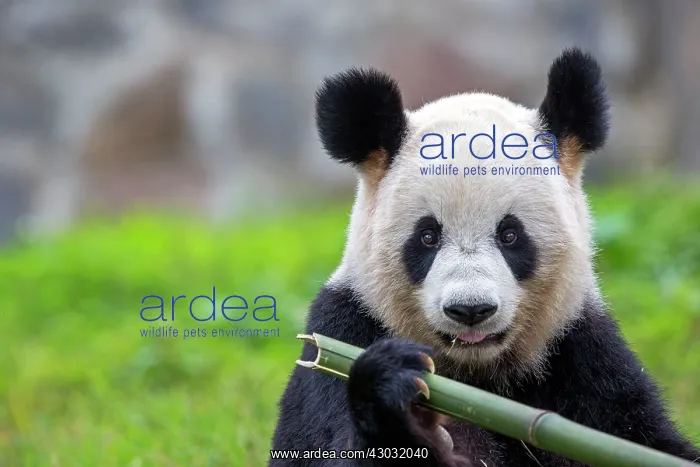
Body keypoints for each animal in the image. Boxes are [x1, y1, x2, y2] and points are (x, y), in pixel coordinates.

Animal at [269, 48, 700, 466]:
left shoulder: (582, 355)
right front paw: (396, 397)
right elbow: (319, 447)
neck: (477, 377)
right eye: (427, 237)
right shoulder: (343, 329)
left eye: (510, 235)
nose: (470, 309)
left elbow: (646, 438)